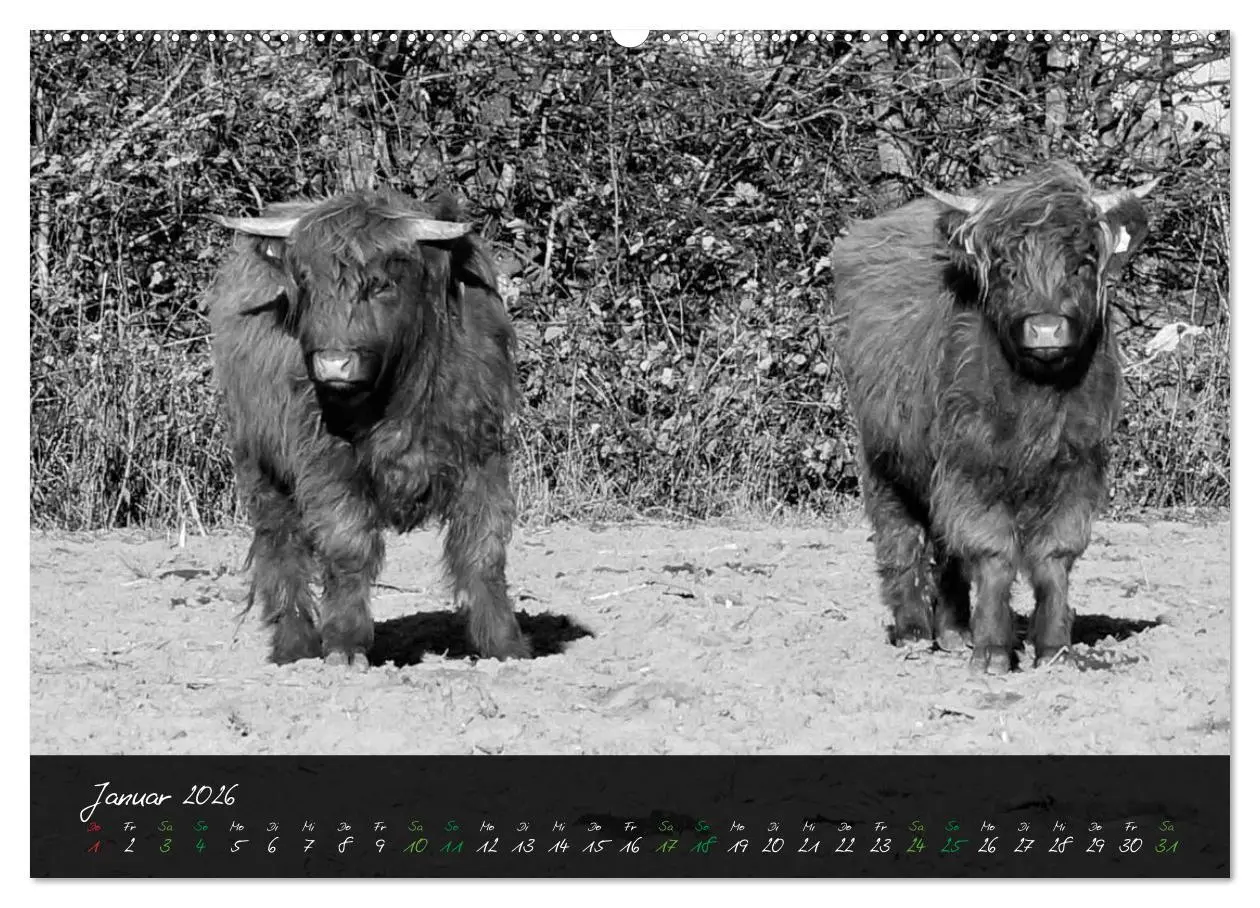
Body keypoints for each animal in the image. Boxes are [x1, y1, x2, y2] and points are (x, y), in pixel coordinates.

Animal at [206, 188, 531, 668]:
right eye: (305, 284)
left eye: (382, 284)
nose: (333, 363)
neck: (400, 395)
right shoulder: (327, 463)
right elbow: (348, 546)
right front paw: (345, 645)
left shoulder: (482, 454)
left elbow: (483, 548)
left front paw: (506, 644)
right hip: (259, 465)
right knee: (280, 545)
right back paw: (294, 646)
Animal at [829, 161, 1158, 674]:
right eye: (1007, 268)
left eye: (1082, 264)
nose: (1046, 328)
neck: (1036, 399)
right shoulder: (972, 465)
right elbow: (992, 553)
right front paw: (993, 652)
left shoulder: (1078, 464)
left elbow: (1055, 555)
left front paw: (1054, 649)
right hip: (883, 455)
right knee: (900, 535)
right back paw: (913, 631)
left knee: (944, 546)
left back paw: (952, 631)